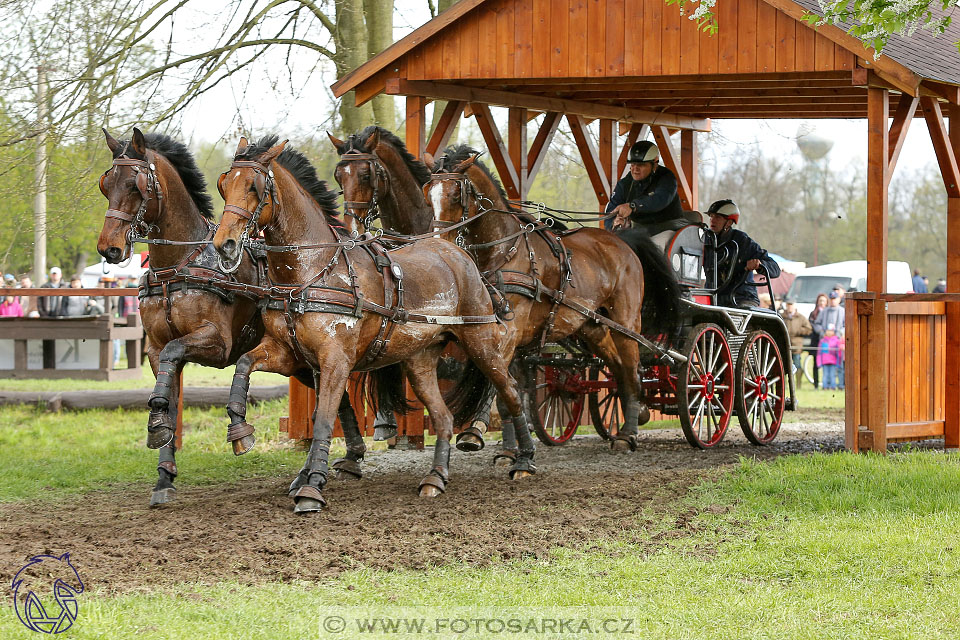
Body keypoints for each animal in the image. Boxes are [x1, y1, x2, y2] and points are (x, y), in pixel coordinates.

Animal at [96, 129, 266, 504]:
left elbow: (175, 356)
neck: (177, 266)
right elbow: (170, 402)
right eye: (105, 183)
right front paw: (164, 474)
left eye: (135, 186)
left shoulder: (217, 343)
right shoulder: (155, 350)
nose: (108, 248)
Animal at [213, 136, 536, 516]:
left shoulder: (336, 361)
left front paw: (312, 485)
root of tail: (458, 253)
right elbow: (245, 365)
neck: (312, 270)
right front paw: (241, 433)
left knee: (510, 391)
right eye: (224, 185)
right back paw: (435, 478)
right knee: (442, 416)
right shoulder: (290, 354)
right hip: (419, 359)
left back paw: (523, 460)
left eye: (254, 186)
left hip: (480, 341)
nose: (224, 244)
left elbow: (325, 418)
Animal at [426, 148, 684, 452]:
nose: (440, 241)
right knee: (617, 369)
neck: (505, 249)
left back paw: (627, 435)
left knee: (633, 372)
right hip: (592, 326)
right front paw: (505, 447)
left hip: (627, 322)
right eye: (428, 193)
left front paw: (486, 436)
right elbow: (505, 389)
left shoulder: (511, 330)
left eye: (457, 195)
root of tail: (622, 242)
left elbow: (502, 386)